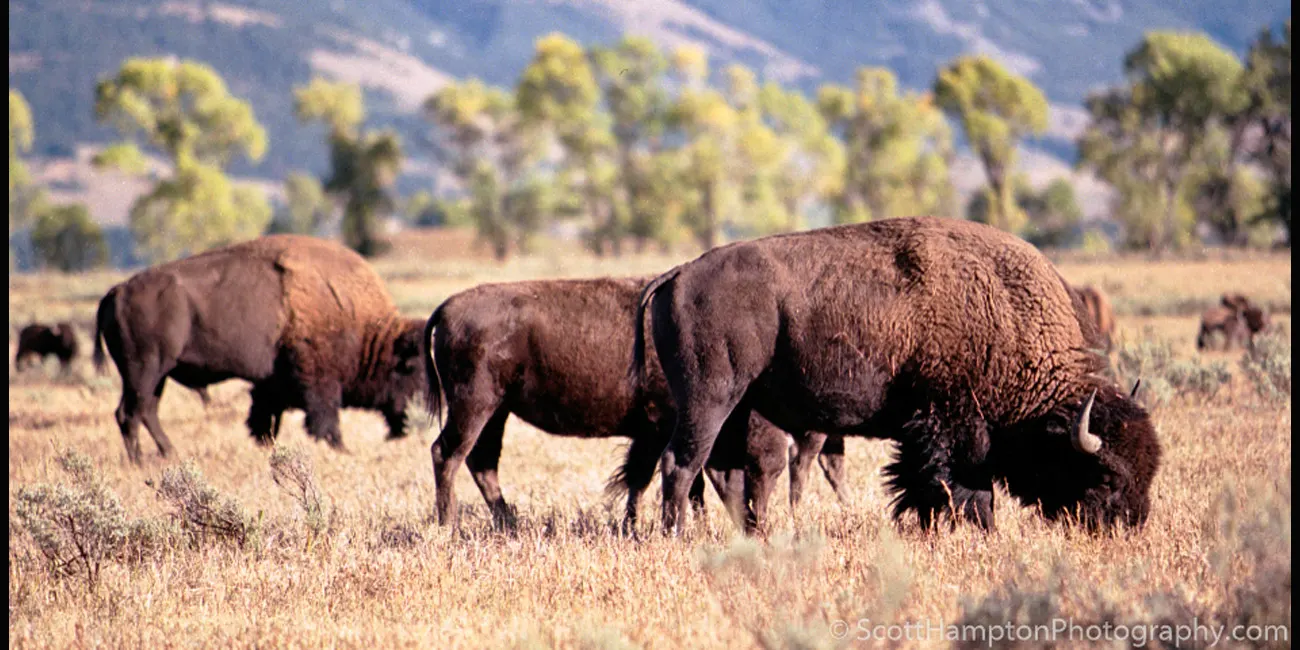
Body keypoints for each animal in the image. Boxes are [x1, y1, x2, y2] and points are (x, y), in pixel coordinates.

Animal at [93, 235, 426, 464]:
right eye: (415, 370)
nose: (419, 417)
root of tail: (116, 292)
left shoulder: (270, 386)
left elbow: (264, 419)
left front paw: (266, 445)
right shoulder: (319, 382)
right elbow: (325, 420)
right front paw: (343, 450)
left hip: (157, 374)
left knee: (146, 410)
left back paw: (169, 454)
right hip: (145, 370)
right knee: (130, 413)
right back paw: (140, 461)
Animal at [422, 277, 846, 531]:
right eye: (763, 462)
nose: (759, 521)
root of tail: (447, 307)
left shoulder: (656, 434)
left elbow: (655, 479)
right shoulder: (660, 429)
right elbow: (655, 476)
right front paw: (647, 528)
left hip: (497, 412)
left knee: (481, 462)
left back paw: (510, 523)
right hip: (474, 405)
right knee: (447, 453)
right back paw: (449, 525)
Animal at [634, 216, 1162, 535]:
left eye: (1149, 469)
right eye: (1105, 476)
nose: (1129, 526)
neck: (1006, 314)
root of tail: (678, 274)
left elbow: (917, 482)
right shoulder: (954, 424)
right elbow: (965, 487)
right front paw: (979, 531)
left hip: (739, 405)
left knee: (725, 471)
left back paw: (750, 536)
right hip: (710, 399)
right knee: (681, 464)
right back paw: (676, 535)